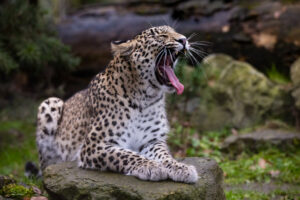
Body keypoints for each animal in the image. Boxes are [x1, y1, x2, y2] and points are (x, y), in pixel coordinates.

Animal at [35, 25, 199, 184]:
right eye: (161, 36)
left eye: (175, 32)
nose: (184, 40)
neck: (145, 99)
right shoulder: (95, 145)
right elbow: (126, 154)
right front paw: (151, 166)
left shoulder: (151, 140)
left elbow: (164, 155)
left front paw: (181, 168)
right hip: (50, 103)